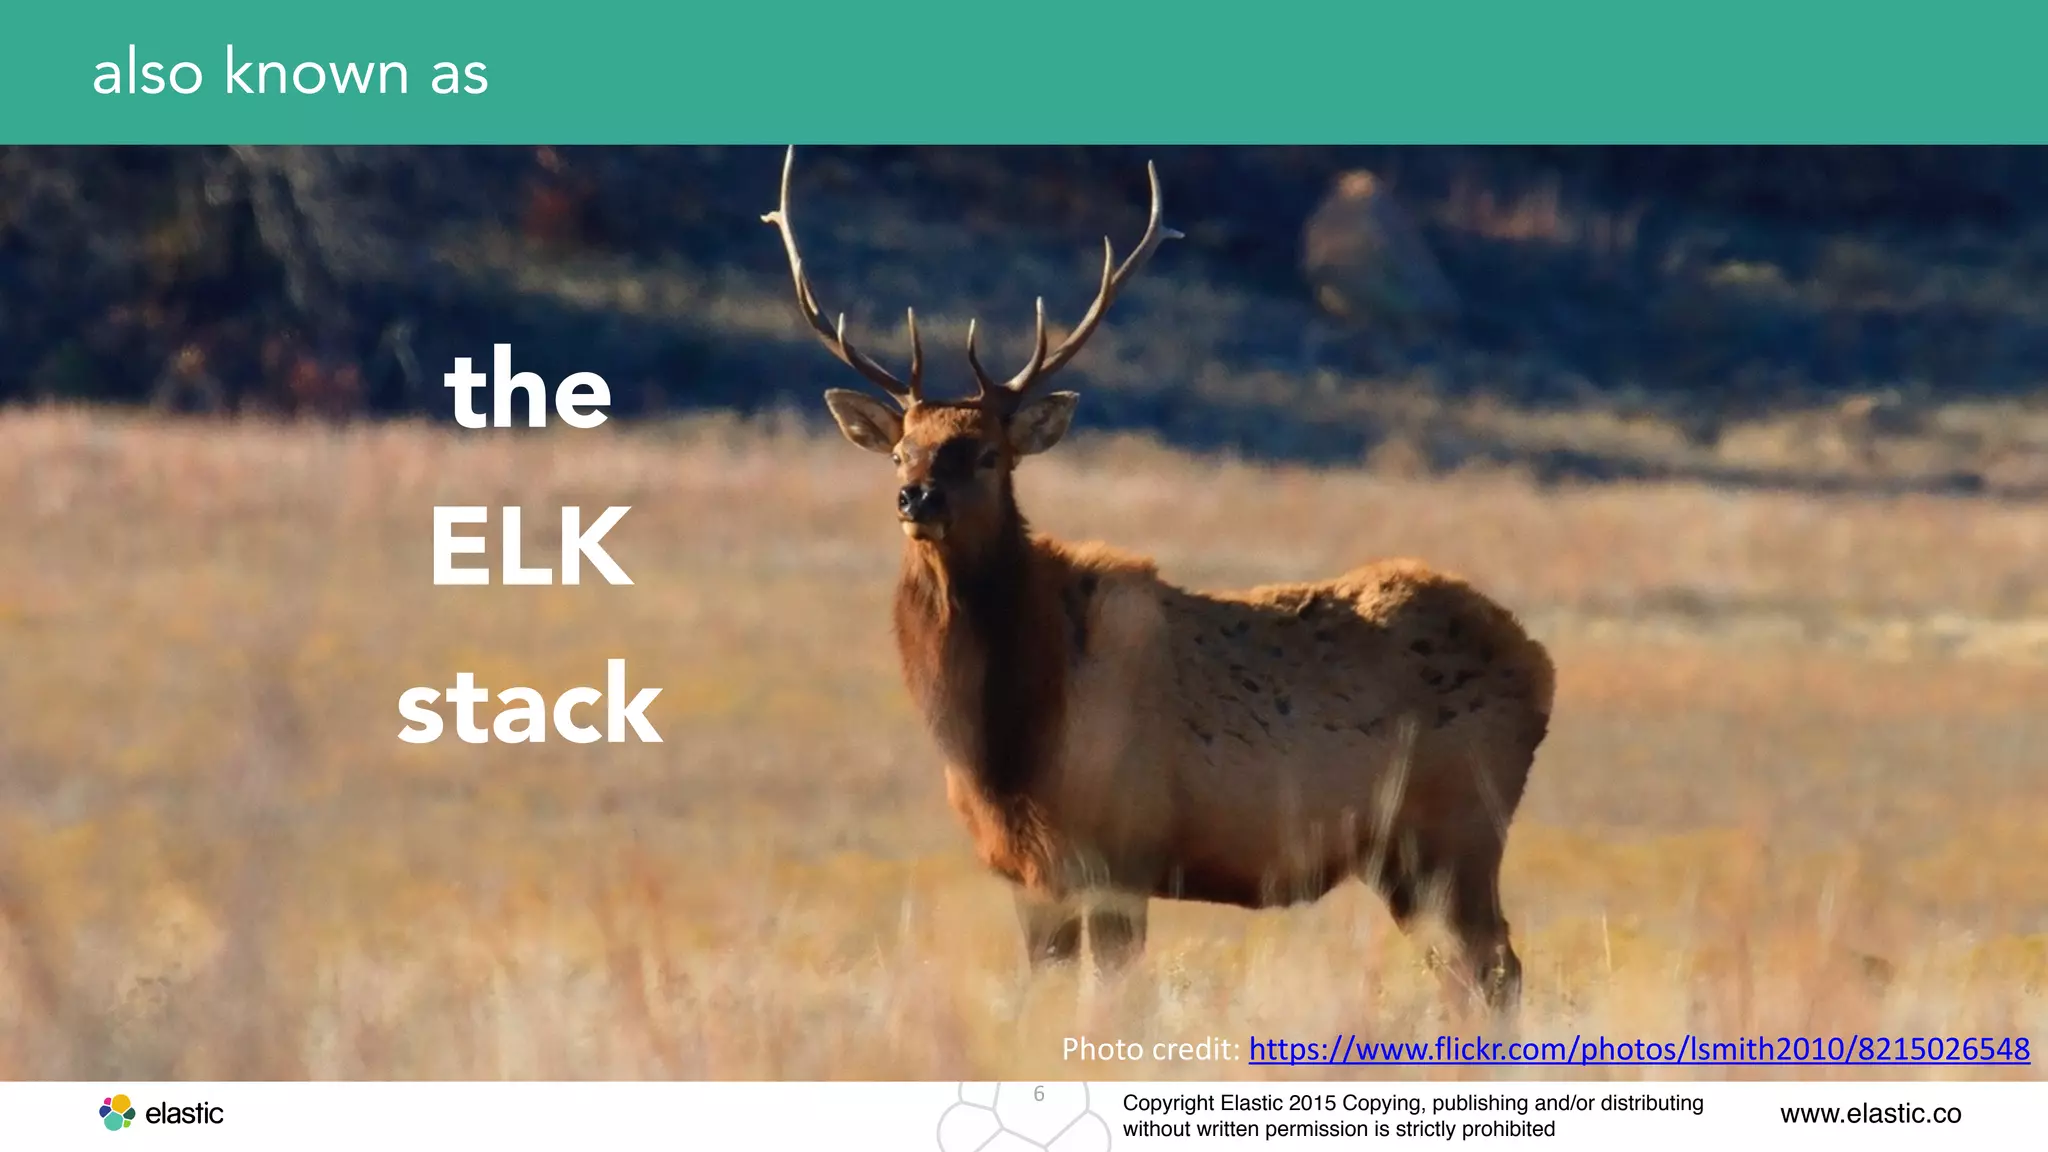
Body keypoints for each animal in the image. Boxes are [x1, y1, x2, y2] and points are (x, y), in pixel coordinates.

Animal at [761, 147, 1555, 1012]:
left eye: (988, 454)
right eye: (902, 451)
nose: (916, 498)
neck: (1004, 740)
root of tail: (1540, 663)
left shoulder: (1119, 854)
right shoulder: (1026, 874)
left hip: (1457, 832)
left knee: (1500, 970)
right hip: (1409, 859)